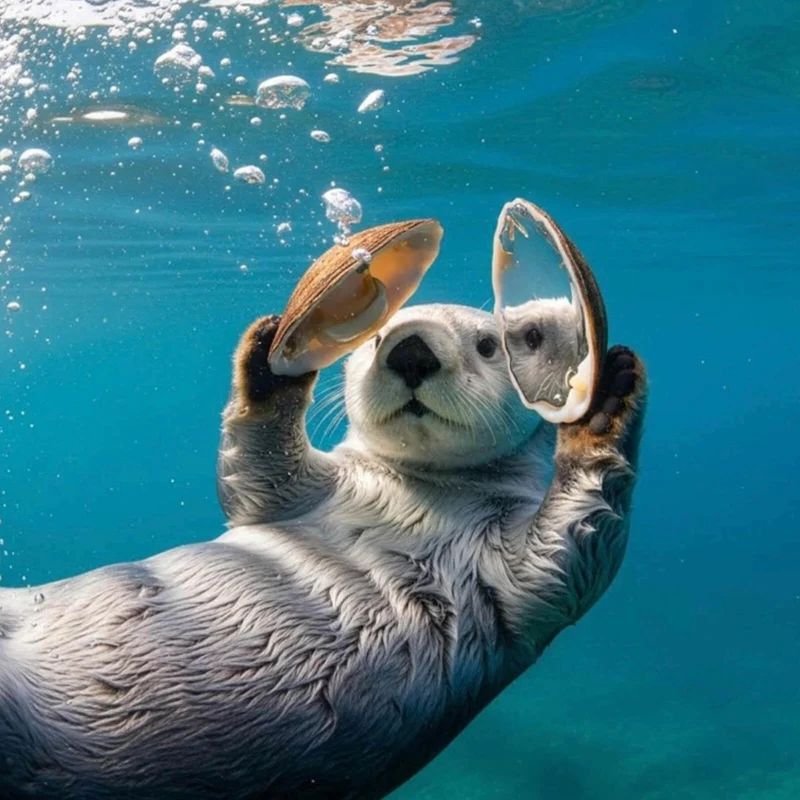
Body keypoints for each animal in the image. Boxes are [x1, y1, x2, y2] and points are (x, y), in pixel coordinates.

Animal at [0, 302, 646, 799]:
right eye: (379, 333)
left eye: (491, 344)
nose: (410, 350)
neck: (416, 493)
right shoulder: (303, 493)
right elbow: (253, 474)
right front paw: (270, 355)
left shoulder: (512, 569)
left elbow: (570, 554)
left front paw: (607, 403)